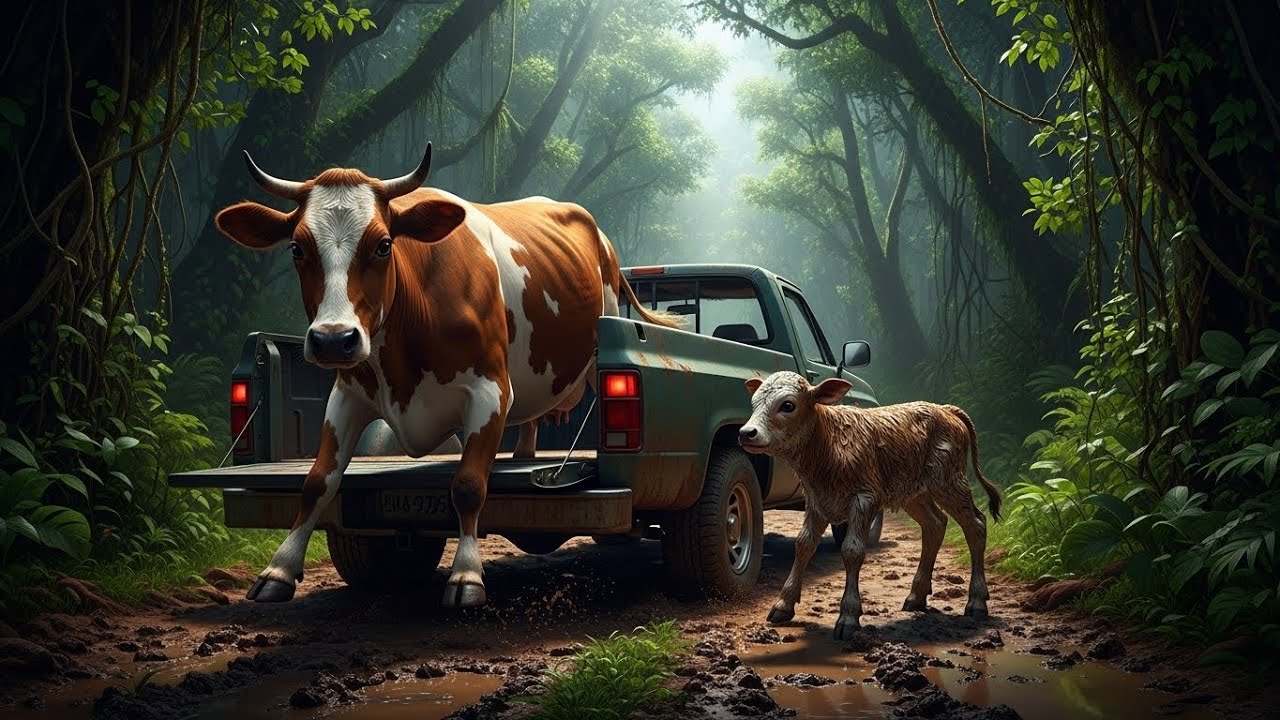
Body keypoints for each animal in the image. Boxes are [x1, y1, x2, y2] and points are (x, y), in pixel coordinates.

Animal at [213, 143, 682, 607]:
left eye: (383, 245)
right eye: (296, 248)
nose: (332, 339)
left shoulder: (490, 391)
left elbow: (468, 485)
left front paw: (467, 575)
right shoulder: (346, 396)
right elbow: (317, 482)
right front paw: (279, 569)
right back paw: (524, 455)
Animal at [736, 371, 1002, 640]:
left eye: (788, 405)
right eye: (754, 403)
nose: (746, 432)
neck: (829, 444)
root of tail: (946, 409)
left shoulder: (864, 498)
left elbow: (852, 550)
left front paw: (849, 616)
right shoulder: (817, 501)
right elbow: (804, 545)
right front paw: (783, 605)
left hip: (950, 482)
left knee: (976, 524)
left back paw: (977, 602)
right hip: (914, 493)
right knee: (935, 524)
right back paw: (916, 596)